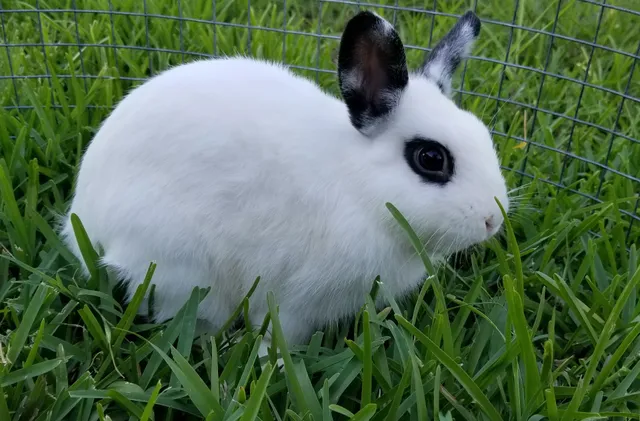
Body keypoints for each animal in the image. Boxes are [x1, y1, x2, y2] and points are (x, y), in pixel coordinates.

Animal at [61, 10, 509, 359]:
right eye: (431, 159)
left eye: (482, 133)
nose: (493, 221)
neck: (357, 185)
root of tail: (82, 219)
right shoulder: (294, 300)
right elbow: (279, 335)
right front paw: (270, 363)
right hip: (180, 265)